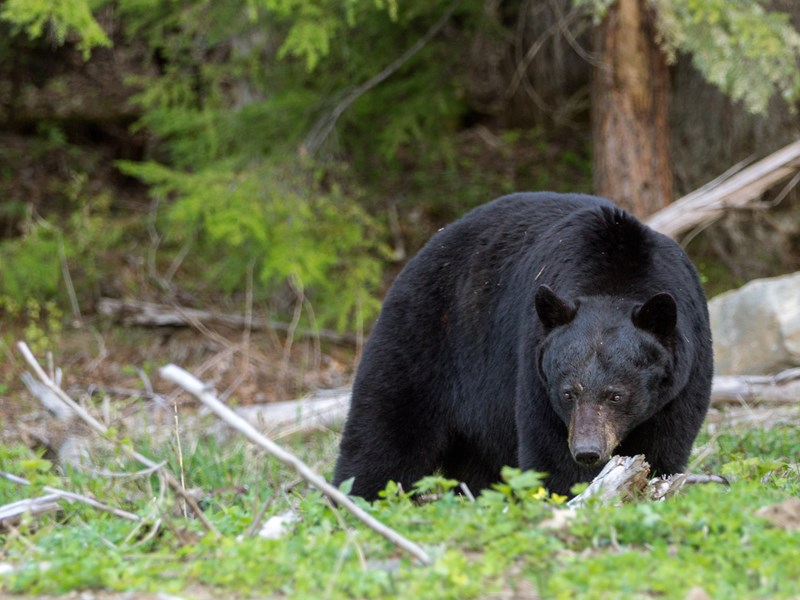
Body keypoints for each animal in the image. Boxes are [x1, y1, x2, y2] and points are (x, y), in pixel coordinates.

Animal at [332, 192, 712, 496]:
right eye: (567, 393)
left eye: (616, 395)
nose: (588, 450)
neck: (615, 278)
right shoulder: (534, 371)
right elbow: (550, 456)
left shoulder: (682, 381)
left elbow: (663, 448)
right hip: (425, 337)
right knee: (383, 431)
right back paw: (355, 498)